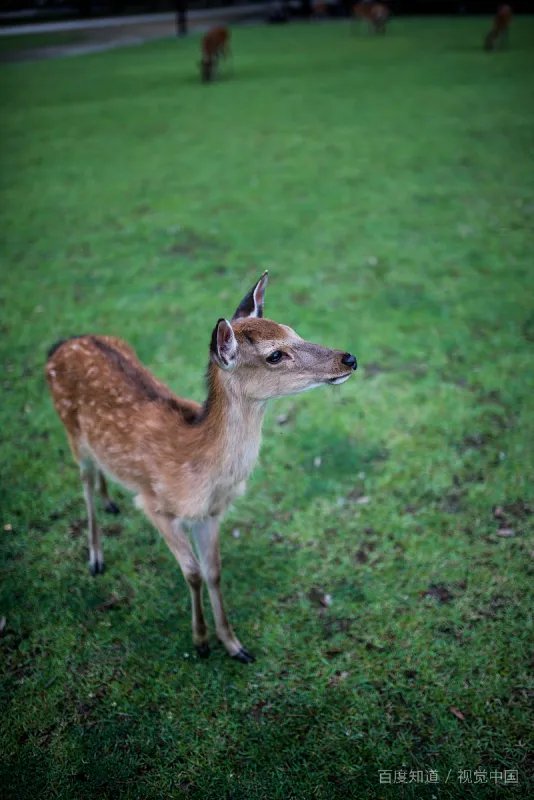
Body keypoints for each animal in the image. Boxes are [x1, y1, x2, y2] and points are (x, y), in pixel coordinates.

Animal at [45, 273, 357, 663]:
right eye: (274, 354)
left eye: (293, 330)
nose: (348, 358)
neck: (201, 473)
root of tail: (62, 344)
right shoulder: (154, 505)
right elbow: (192, 572)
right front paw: (200, 641)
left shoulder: (211, 514)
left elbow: (214, 572)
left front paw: (234, 645)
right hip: (71, 431)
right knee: (84, 484)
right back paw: (96, 558)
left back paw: (110, 501)